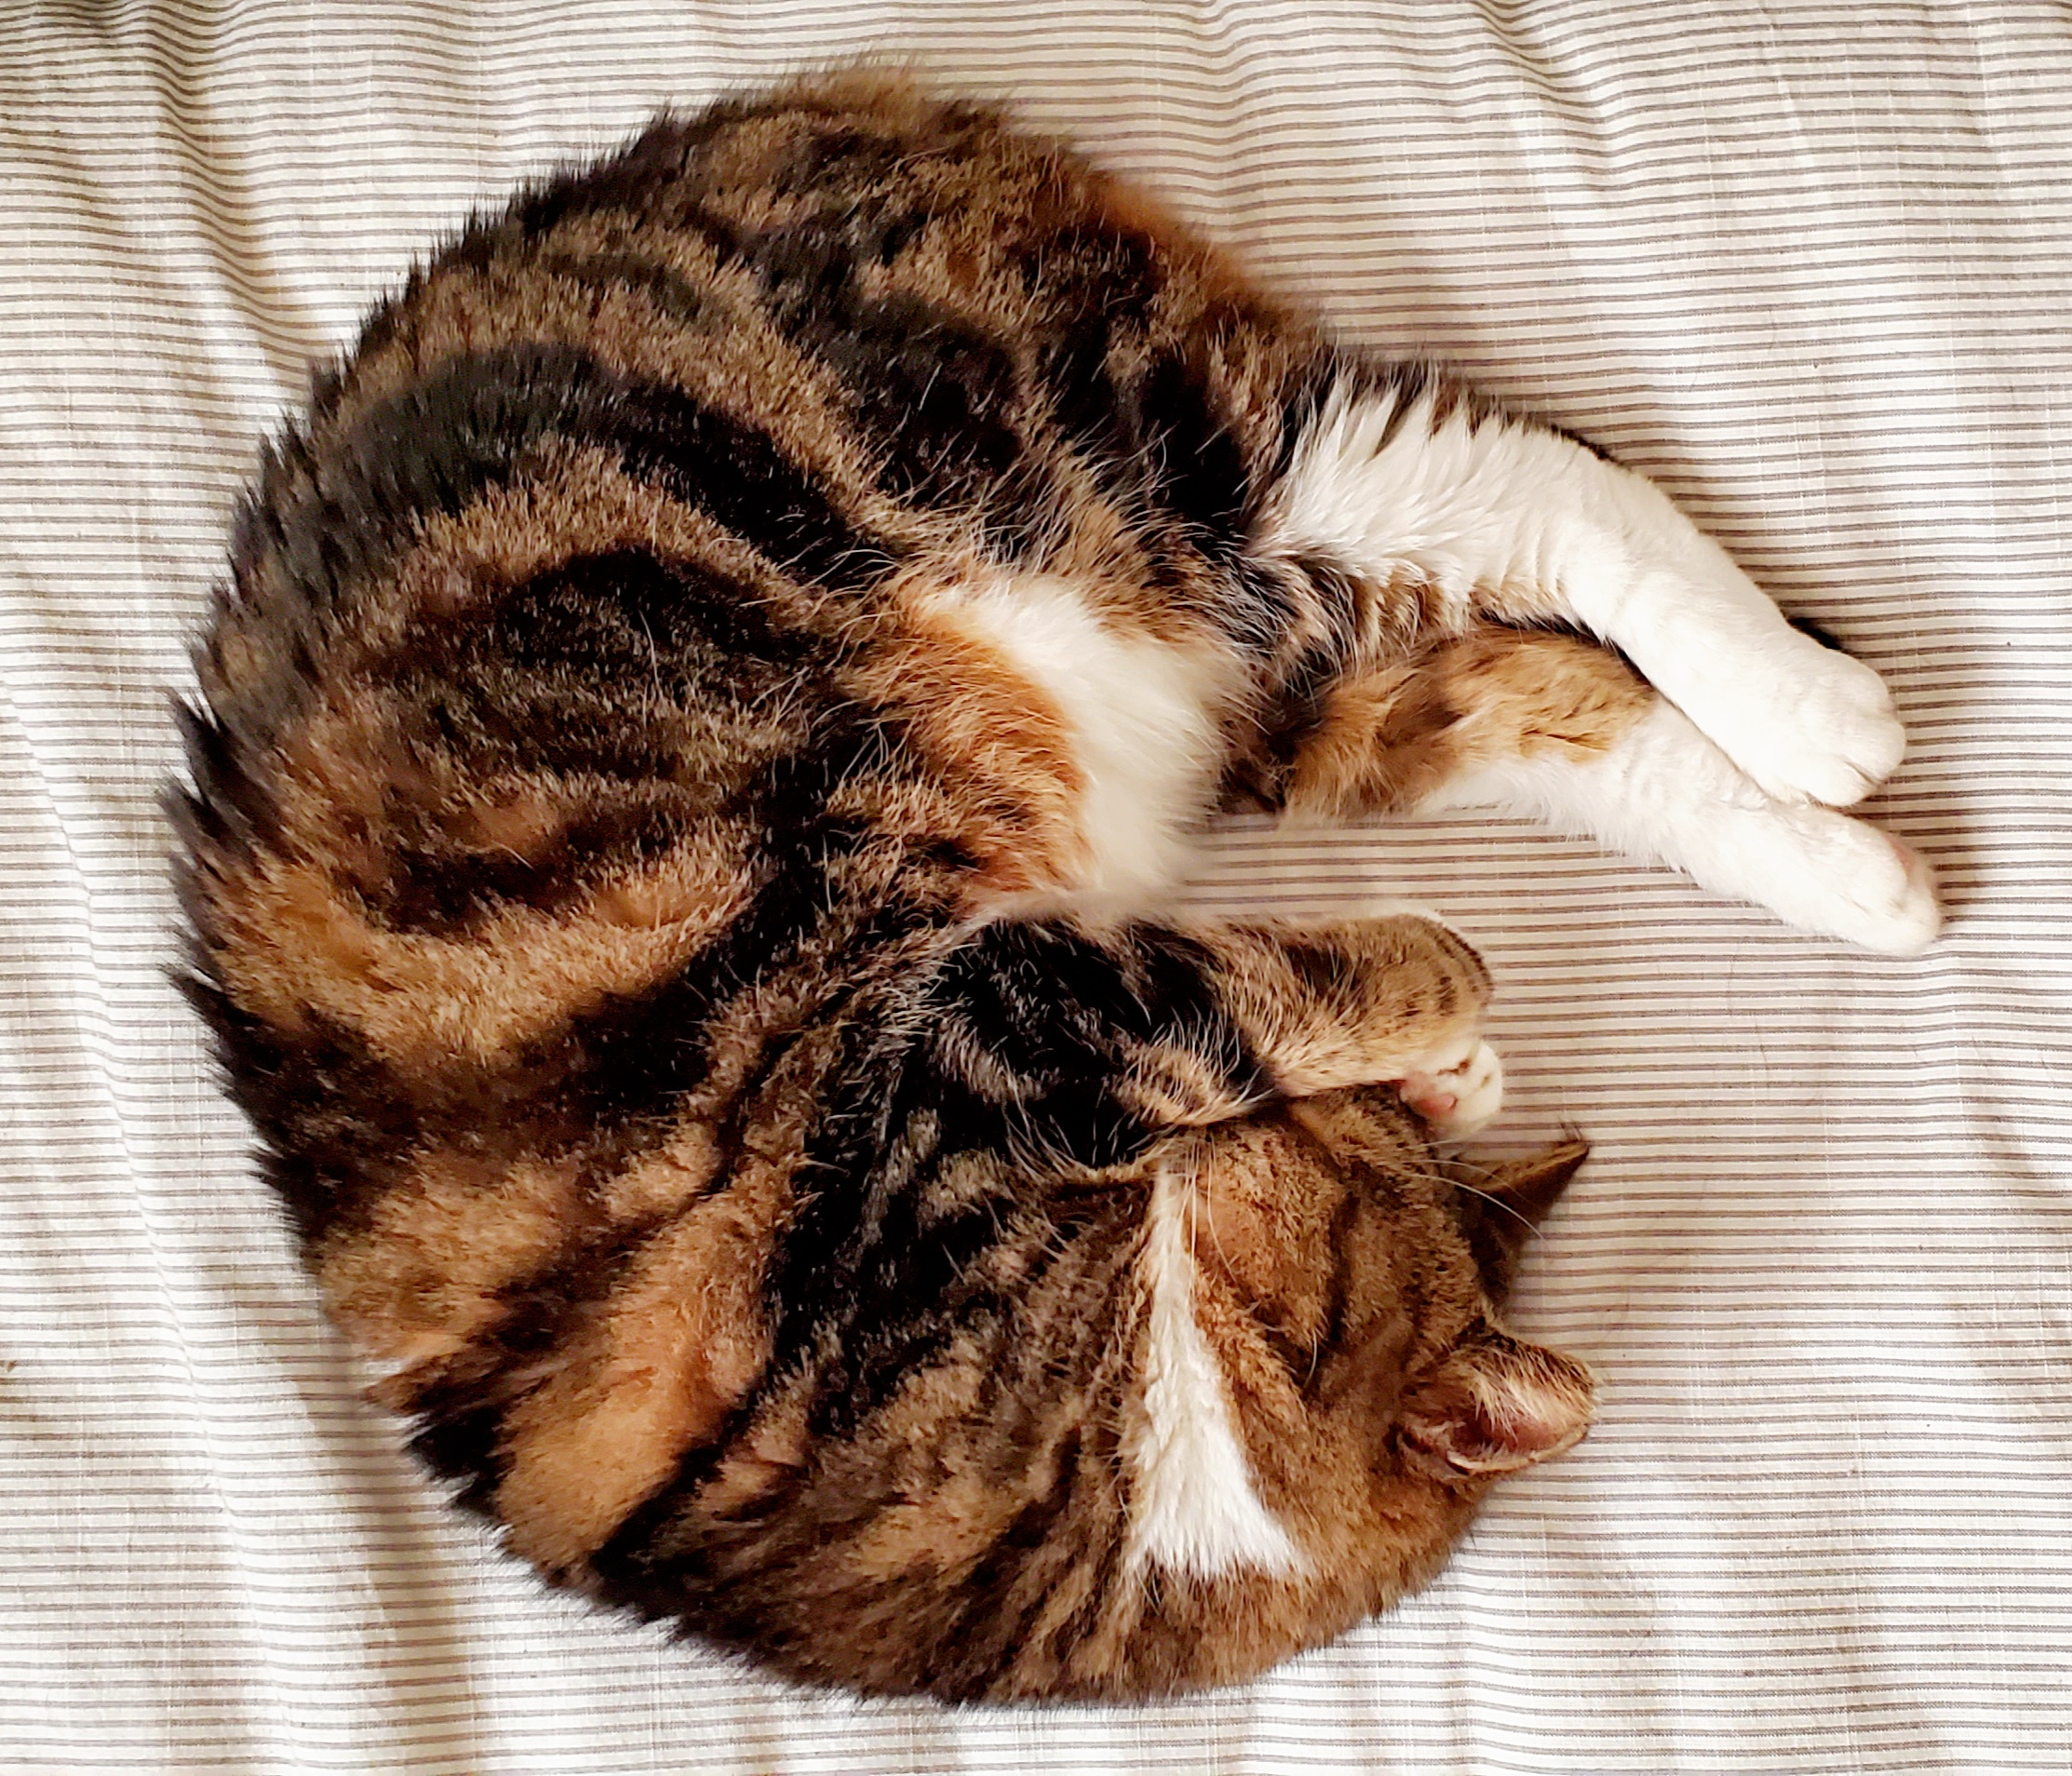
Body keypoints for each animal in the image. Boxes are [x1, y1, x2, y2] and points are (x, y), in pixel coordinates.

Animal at [178, 72, 1939, 1707]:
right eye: (1327, 1158)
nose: (1385, 1105)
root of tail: (728, 132)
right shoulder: (966, 1049)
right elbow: (1364, 970)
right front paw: (1450, 1063)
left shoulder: (953, 1065)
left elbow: (1346, 960)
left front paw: (1441, 1028)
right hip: (1232, 642)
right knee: (1530, 670)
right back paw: (1862, 861)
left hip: (1112, 450)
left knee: (1500, 477)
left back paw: (1822, 714)